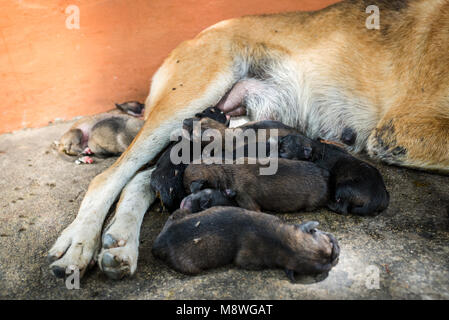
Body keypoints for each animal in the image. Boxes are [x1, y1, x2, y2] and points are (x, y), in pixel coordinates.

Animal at [151, 206, 340, 282]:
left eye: (330, 246)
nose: (336, 257)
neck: (282, 241)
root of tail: (159, 243)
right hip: (188, 266)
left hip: (179, 213)